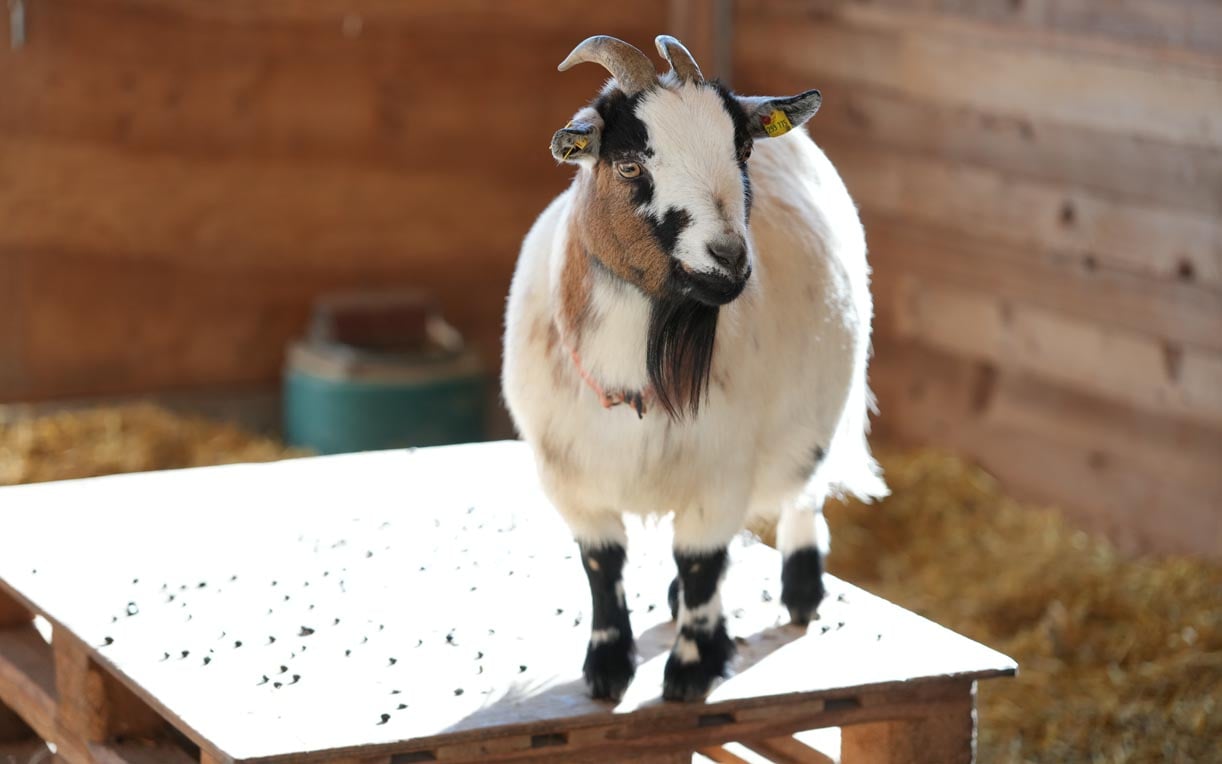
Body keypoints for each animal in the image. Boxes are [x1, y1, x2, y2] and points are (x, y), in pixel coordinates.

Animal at [502, 35, 887, 702]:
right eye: (630, 165)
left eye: (743, 149)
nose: (729, 259)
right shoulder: (570, 479)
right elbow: (602, 565)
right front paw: (607, 666)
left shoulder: (721, 472)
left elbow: (703, 562)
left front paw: (691, 668)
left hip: (818, 414)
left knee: (804, 493)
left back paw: (802, 590)